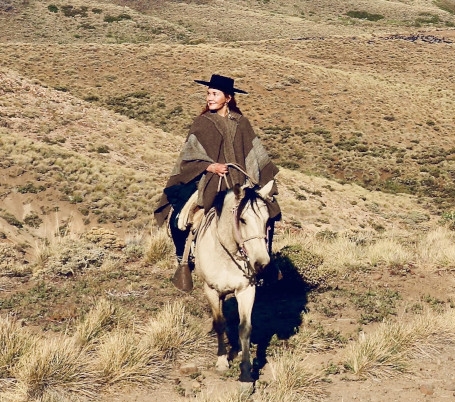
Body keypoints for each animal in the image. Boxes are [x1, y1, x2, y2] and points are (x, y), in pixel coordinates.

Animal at [194, 179, 274, 382]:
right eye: (243, 220)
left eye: (267, 220)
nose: (262, 263)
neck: (226, 254)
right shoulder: (211, 290)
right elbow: (220, 323)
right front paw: (222, 360)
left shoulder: (246, 290)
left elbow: (245, 328)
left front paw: (245, 372)